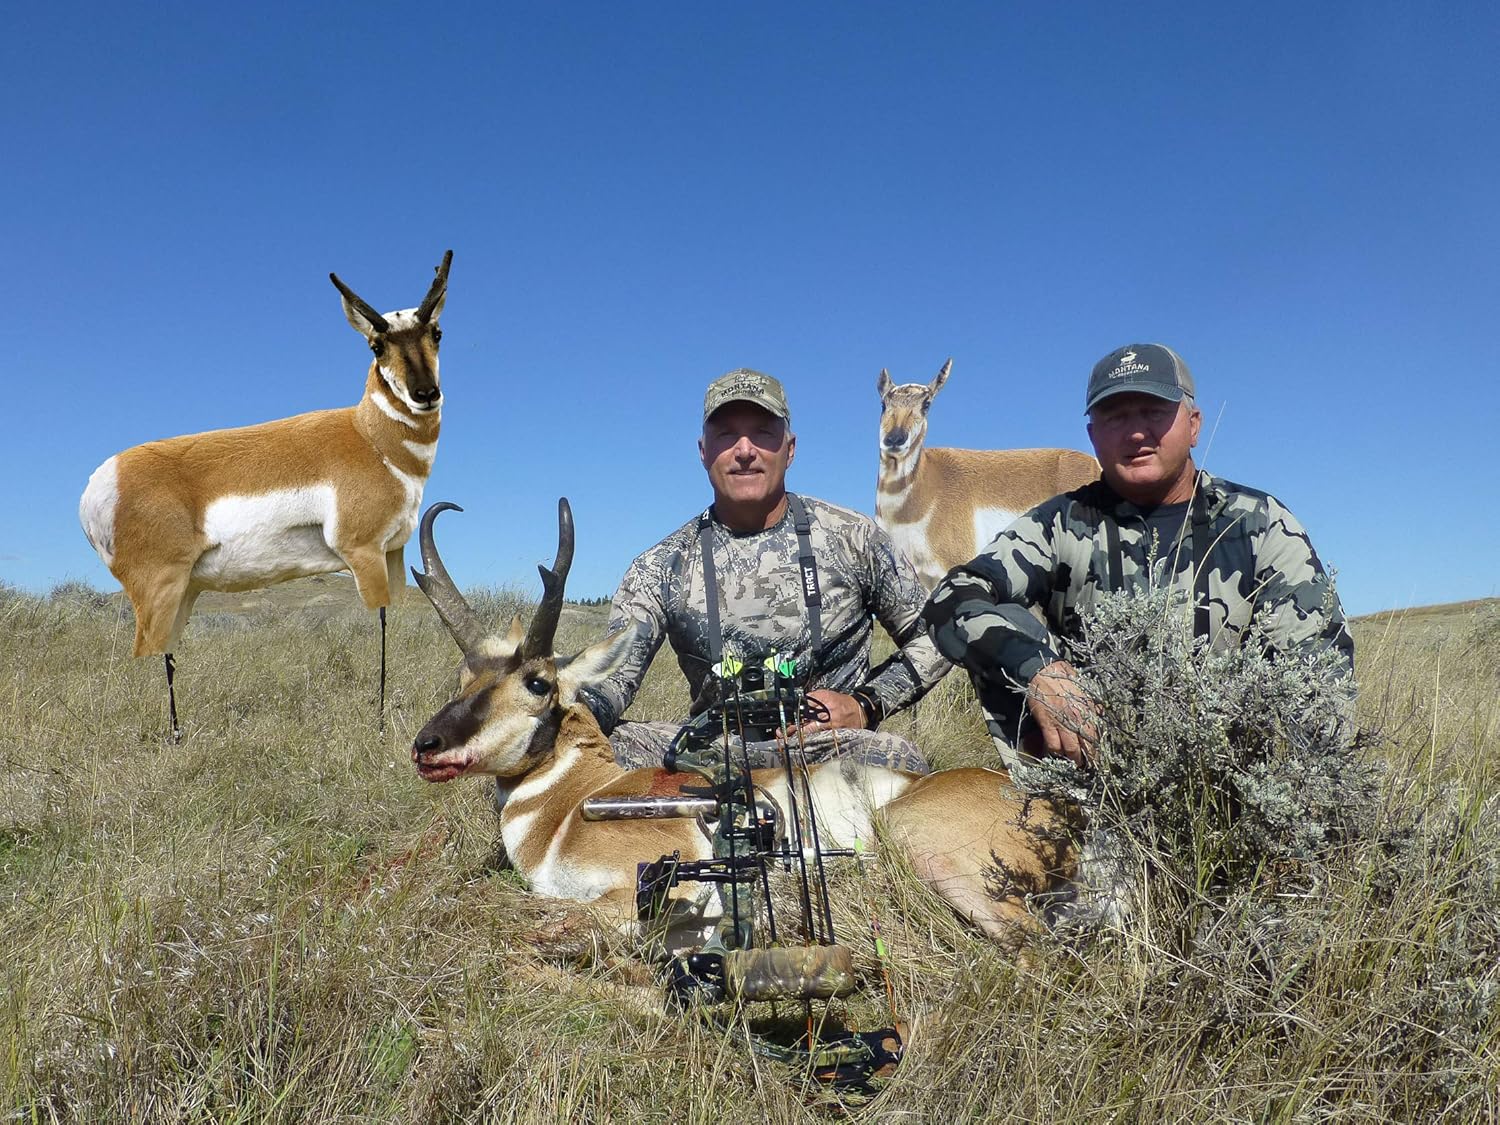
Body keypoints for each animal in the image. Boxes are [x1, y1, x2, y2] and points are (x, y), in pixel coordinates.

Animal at [79, 251, 453, 735]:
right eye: (376, 345)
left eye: (436, 333)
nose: (425, 393)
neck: (368, 436)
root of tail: (100, 480)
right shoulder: (363, 552)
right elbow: (381, 624)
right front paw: (379, 720)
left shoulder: (394, 552)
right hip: (159, 589)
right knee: (146, 650)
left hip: (184, 592)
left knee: (167, 653)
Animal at [408, 499, 1073, 954]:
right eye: (465, 675)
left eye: (538, 683)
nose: (426, 747)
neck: (571, 805)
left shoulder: (649, 885)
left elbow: (558, 925)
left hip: (922, 848)